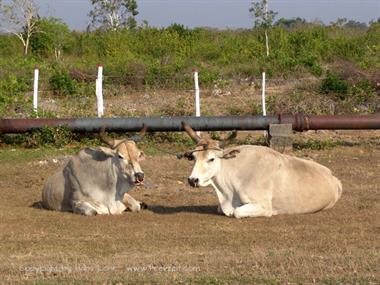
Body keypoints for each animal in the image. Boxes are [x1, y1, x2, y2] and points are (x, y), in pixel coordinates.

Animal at [181, 122, 342, 217]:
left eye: (211, 159)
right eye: (193, 158)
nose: (192, 180)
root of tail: (333, 177)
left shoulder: (263, 206)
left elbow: (237, 212)